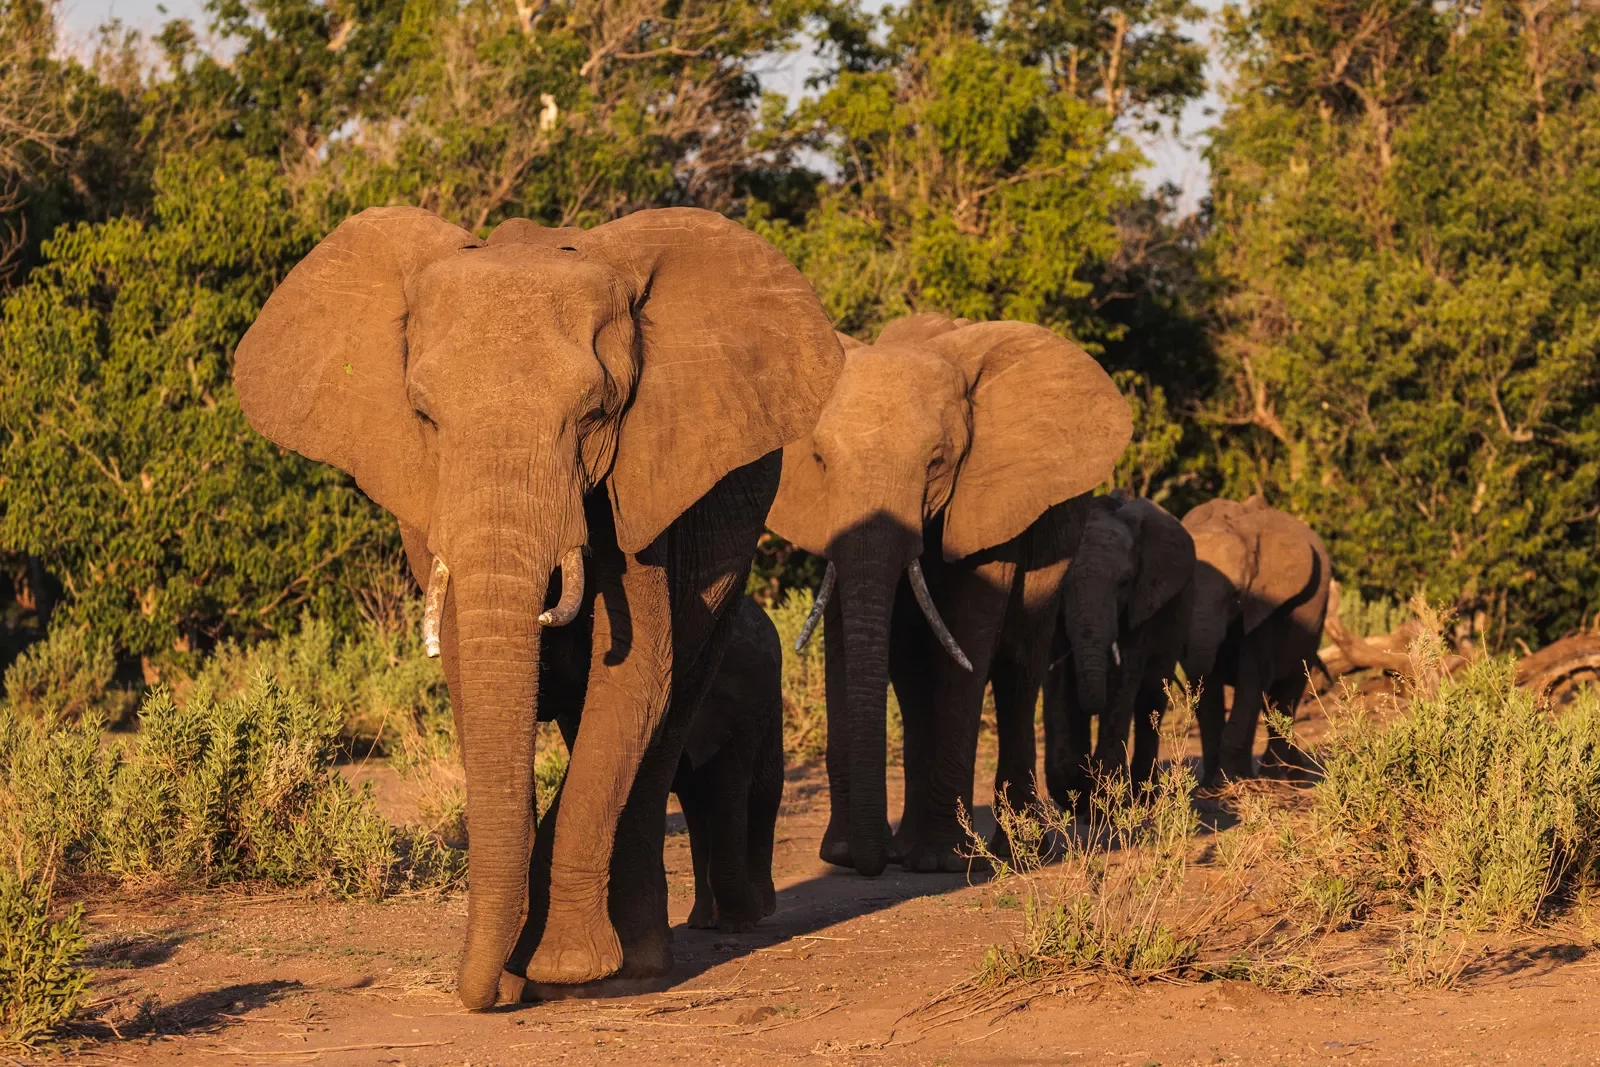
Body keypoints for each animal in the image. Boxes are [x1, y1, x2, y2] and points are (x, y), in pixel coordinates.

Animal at [668, 598, 780, 927]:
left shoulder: (734, 707)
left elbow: (727, 788)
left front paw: (742, 921)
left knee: (766, 788)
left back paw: (762, 909)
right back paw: (703, 921)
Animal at [1043, 492, 1196, 809]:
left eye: (1124, 583)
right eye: (1062, 586)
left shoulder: (1141, 601)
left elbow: (1123, 682)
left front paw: (1104, 800)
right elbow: (1059, 680)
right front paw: (1074, 791)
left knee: (1150, 697)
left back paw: (1145, 798)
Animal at [1184, 495, 1331, 783]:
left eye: (1236, 596)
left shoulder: (1265, 608)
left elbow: (1253, 677)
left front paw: (1233, 783)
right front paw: (1211, 786)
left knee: (1286, 695)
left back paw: (1278, 780)